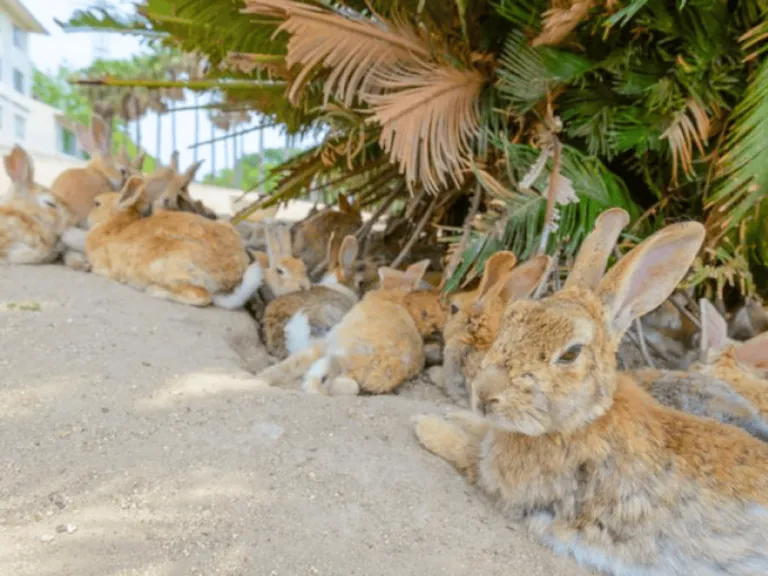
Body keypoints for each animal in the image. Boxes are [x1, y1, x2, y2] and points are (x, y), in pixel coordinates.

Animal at [79, 177, 262, 308]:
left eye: (97, 204)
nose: (85, 218)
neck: (115, 225)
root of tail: (233, 273)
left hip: (166, 267)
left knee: (202, 296)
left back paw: (154, 291)